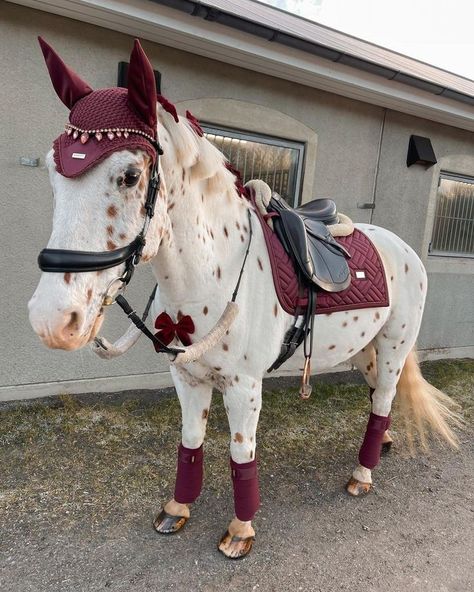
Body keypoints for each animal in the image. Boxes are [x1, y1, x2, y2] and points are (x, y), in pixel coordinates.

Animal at [28, 38, 460, 560]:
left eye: (130, 175)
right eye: (53, 174)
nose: (52, 319)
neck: (210, 276)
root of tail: (404, 249)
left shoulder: (243, 386)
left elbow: (240, 452)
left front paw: (240, 530)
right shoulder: (187, 377)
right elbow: (190, 443)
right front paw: (176, 510)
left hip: (395, 346)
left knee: (384, 399)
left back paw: (362, 473)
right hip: (365, 350)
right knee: (381, 395)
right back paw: (385, 446)